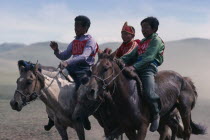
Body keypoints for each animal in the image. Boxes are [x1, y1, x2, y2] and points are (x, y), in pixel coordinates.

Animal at [72, 51, 205, 140]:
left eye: (106, 68)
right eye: (93, 68)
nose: (91, 90)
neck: (130, 97)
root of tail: (185, 80)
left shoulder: (142, 126)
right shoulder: (126, 128)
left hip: (185, 110)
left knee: (187, 131)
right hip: (166, 114)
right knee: (170, 130)